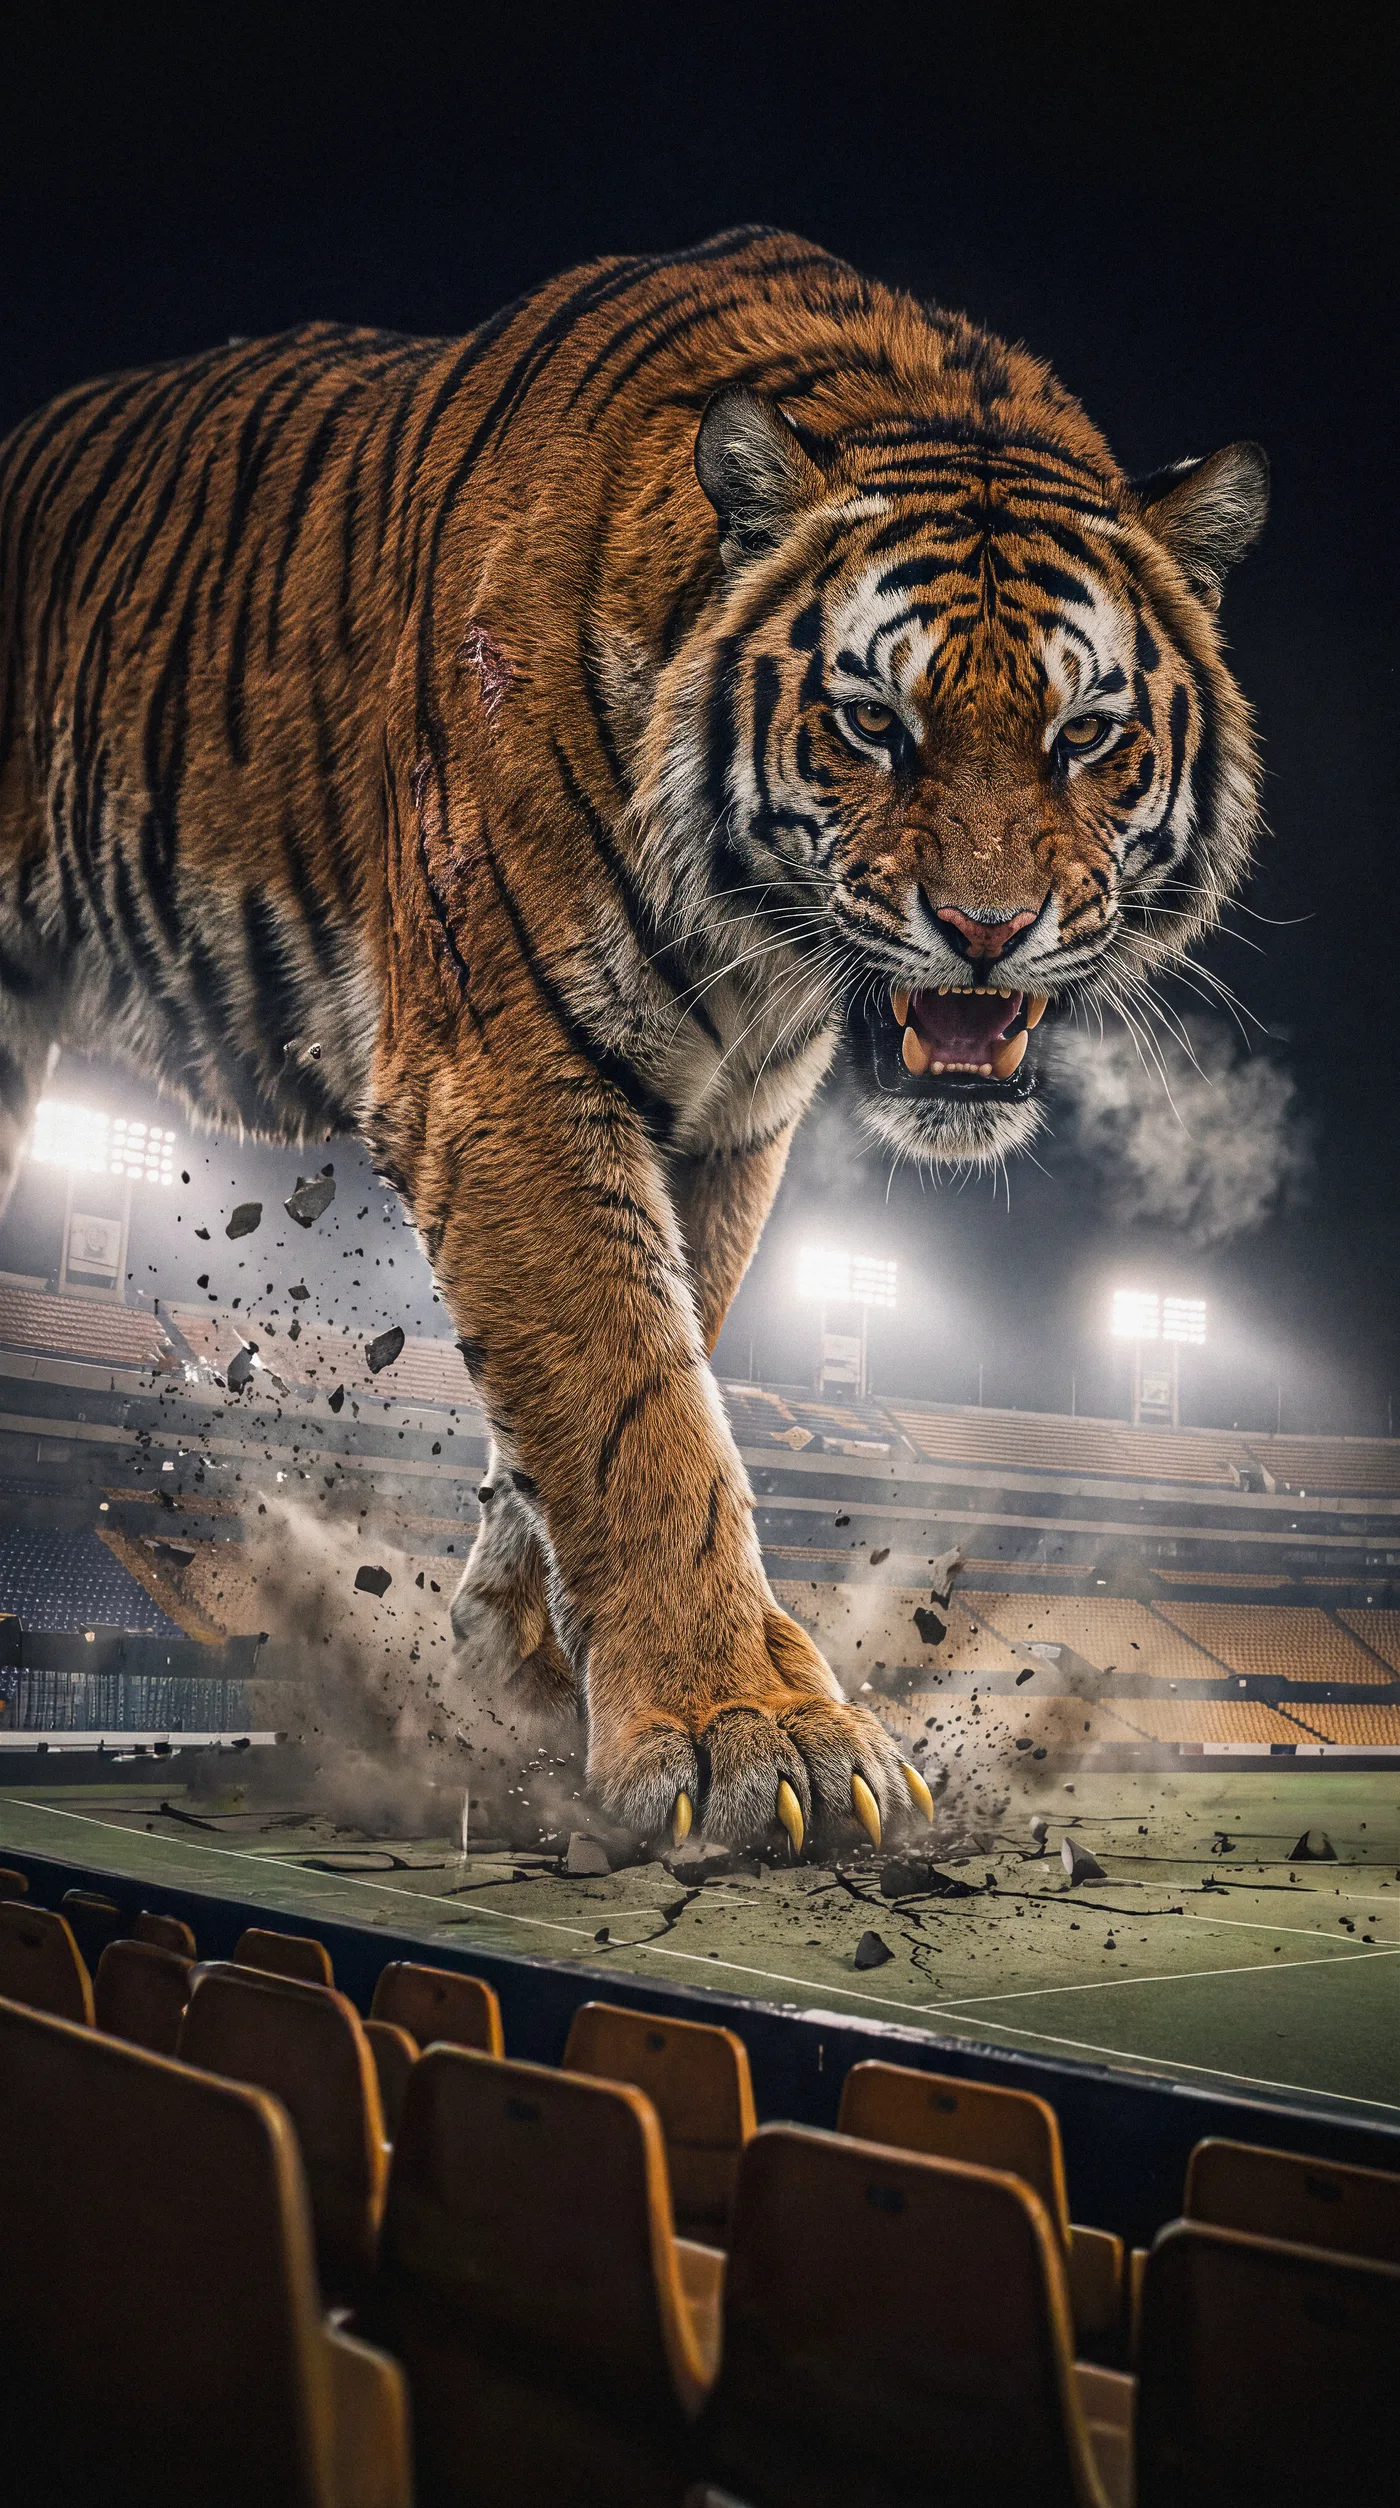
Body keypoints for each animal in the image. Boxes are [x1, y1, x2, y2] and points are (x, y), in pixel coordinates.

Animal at [0, 227, 1267, 1851]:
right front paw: (745, 1728)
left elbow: (646, 1363)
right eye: (874, 724)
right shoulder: (503, 1070)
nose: (985, 928)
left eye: (1085, 735)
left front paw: (518, 1666)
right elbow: (635, 1398)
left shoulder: (728, 1117)